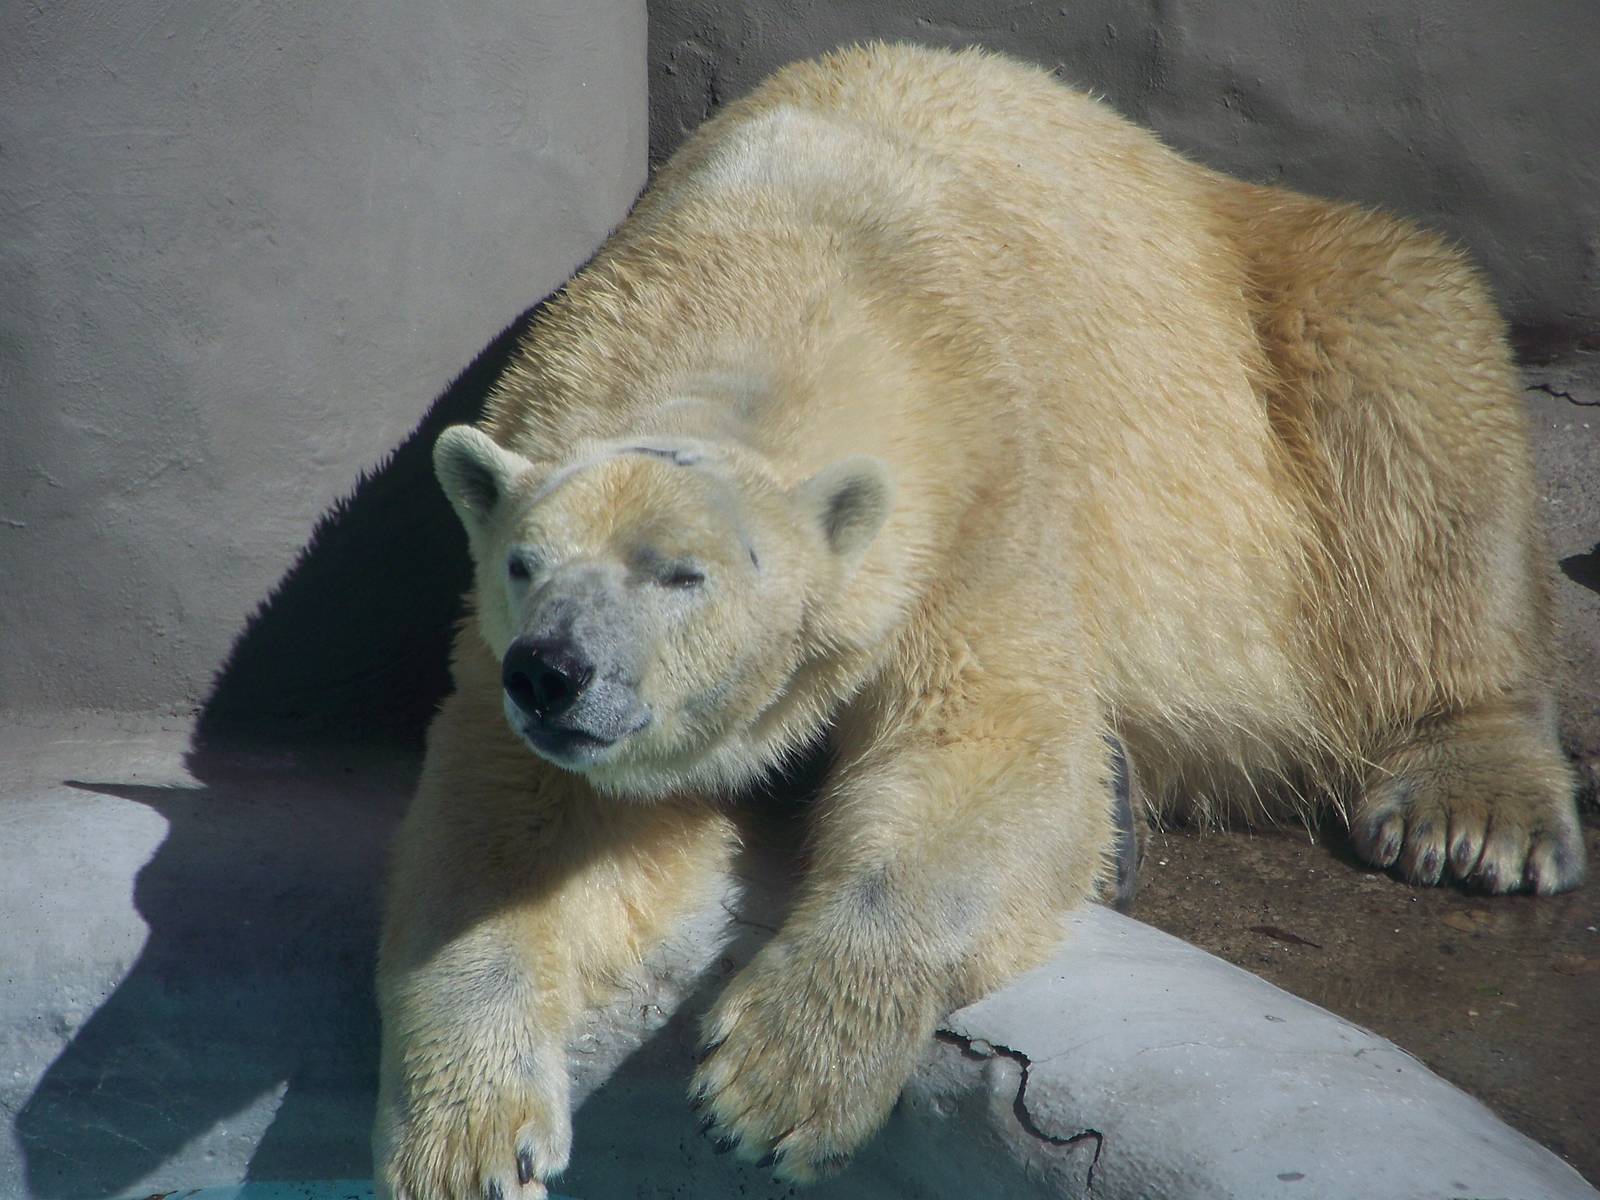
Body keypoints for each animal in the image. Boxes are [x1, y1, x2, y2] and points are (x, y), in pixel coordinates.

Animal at [373, 42, 1586, 1198]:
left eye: (683, 575)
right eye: (522, 564)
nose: (554, 673)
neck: (781, 266)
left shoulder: (980, 492)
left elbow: (989, 746)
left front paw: (780, 1079)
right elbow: (529, 829)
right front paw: (469, 1136)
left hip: (1280, 323)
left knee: (1410, 402)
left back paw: (1471, 809)